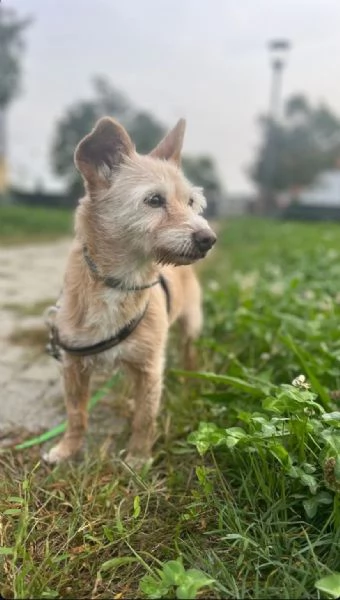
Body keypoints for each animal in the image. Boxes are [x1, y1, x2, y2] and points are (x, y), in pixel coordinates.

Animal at [43, 116, 216, 464]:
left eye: (191, 202)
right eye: (154, 200)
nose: (209, 239)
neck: (121, 282)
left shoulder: (149, 369)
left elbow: (144, 418)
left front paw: (137, 458)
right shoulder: (73, 365)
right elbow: (76, 414)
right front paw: (68, 449)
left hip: (191, 326)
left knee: (189, 352)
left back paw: (189, 378)